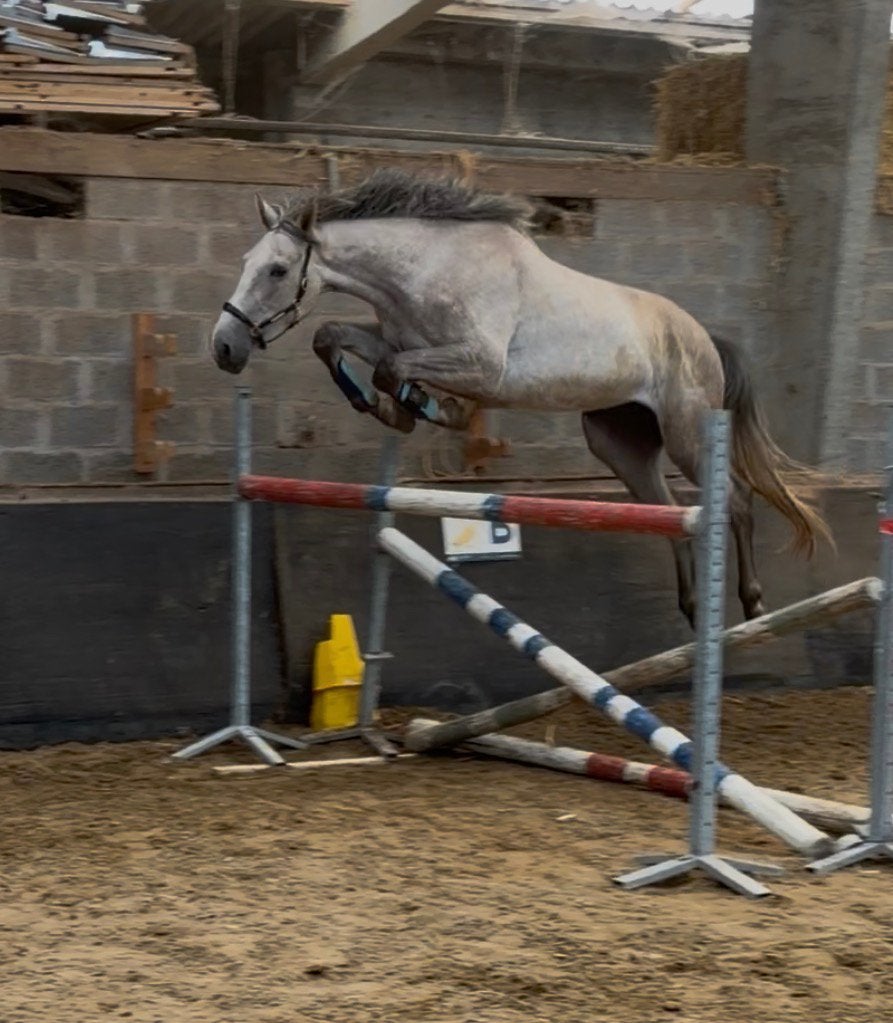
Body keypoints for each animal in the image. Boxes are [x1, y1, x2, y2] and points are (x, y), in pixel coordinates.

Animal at [211, 168, 831, 627]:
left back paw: (752, 606)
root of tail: (704, 337)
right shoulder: (399, 338)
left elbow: (393, 372)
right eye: (245, 263)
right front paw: (386, 406)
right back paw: (694, 612)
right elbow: (332, 336)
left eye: (277, 269)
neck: (425, 270)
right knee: (670, 513)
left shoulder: (480, 364)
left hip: (688, 434)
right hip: (618, 443)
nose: (224, 348)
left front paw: (419, 408)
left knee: (736, 503)